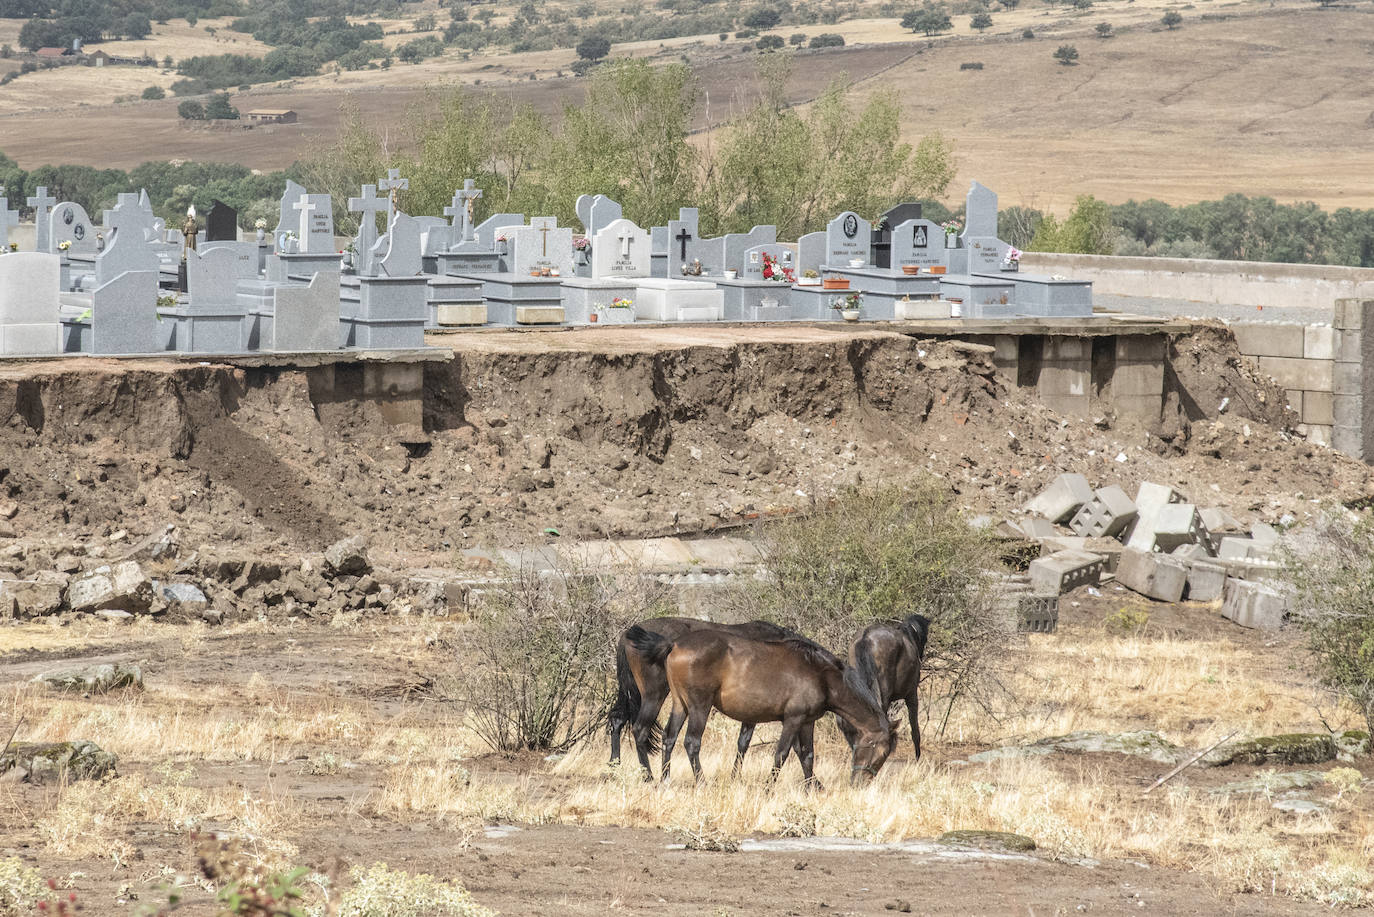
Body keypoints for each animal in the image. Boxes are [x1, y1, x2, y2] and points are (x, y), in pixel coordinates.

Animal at [629, 624, 895, 791]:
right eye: (880, 752)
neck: (821, 675)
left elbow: (807, 754)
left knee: (669, 737)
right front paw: (769, 787)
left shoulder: (807, 721)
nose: (860, 784)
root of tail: (674, 644)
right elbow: (782, 754)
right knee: (691, 742)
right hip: (699, 707)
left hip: (679, 705)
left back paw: (664, 779)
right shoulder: (793, 719)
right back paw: (701, 782)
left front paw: (814, 786)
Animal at [846, 615, 934, 758]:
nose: (921, 656)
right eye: (925, 638)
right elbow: (915, 729)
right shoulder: (912, 695)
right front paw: (917, 757)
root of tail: (866, 637)